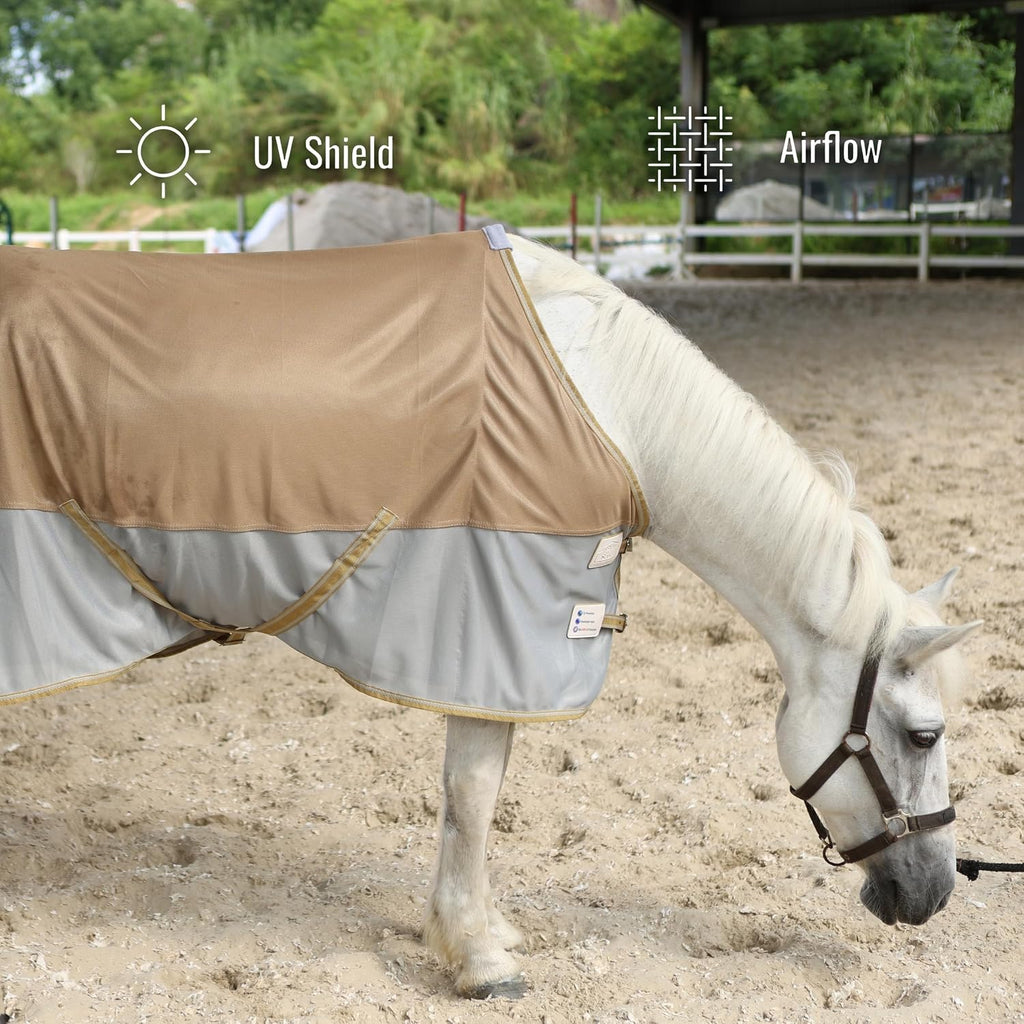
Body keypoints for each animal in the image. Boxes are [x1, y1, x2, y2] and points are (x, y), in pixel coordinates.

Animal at [0, 229, 980, 1000]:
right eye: (924, 735)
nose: (935, 892)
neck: (606, 402)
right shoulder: (494, 627)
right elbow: (473, 795)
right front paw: (477, 957)